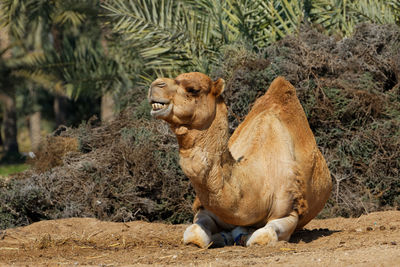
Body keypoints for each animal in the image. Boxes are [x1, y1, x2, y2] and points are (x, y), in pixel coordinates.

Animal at [147, 72, 332, 248]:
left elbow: (262, 236)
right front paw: (223, 236)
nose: (155, 84)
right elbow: (194, 235)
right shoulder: (205, 209)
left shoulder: (290, 211)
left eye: (193, 89)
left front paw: (243, 234)